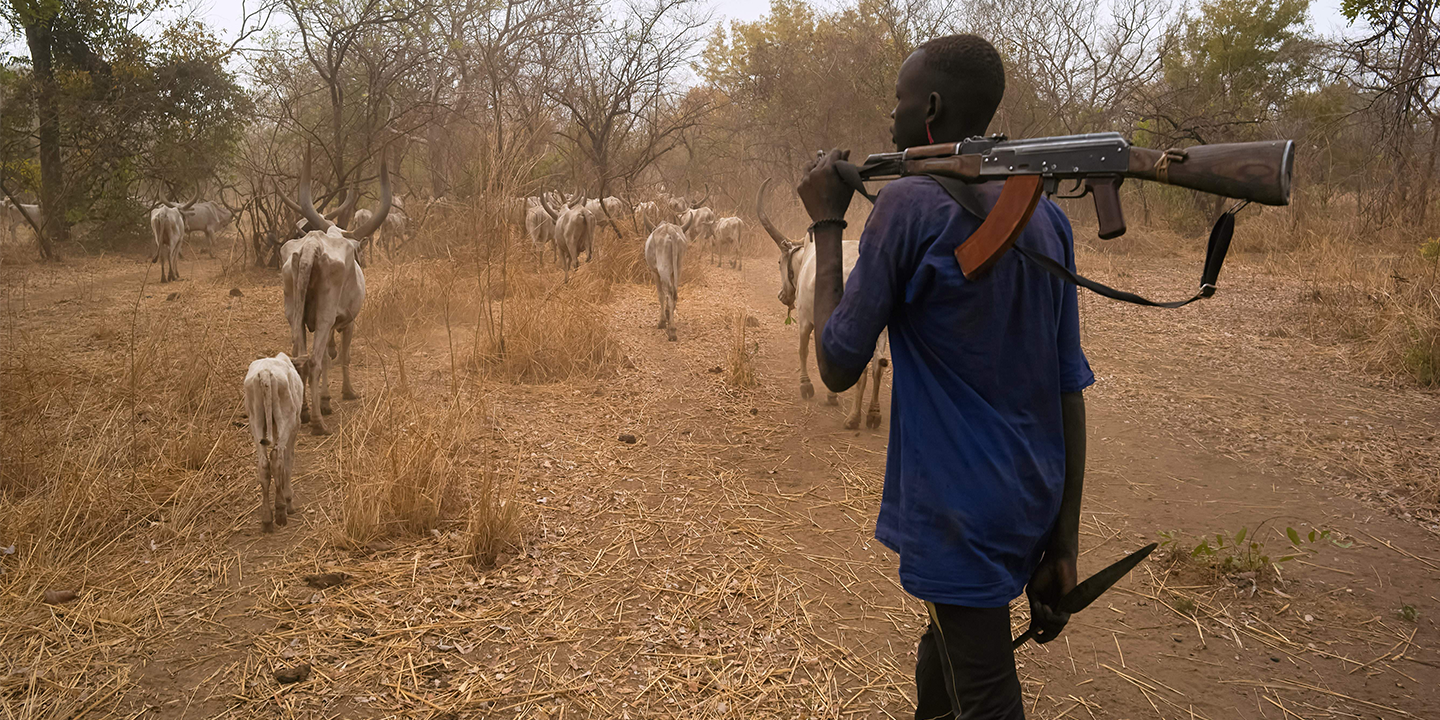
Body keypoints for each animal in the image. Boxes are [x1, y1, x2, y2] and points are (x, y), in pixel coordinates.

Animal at [241, 351, 306, 532]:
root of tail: (265, 373)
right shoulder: (294, 427)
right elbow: (288, 461)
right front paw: (289, 500)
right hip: (287, 419)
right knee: (277, 458)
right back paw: (281, 510)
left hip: (255, 421)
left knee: (264, 464)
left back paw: (267, 519)